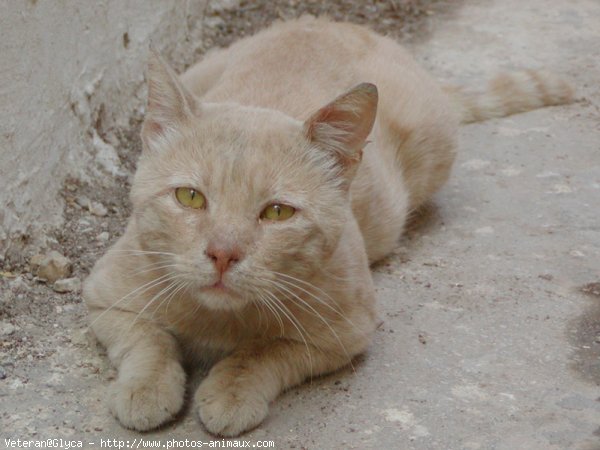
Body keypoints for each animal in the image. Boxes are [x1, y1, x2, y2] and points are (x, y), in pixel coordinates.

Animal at [82, 17, 576, 436]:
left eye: (277, 213)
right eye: (190, 197)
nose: (222, 253)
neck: (218, 320)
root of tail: (339, 22)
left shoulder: (344, 334)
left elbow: (263, 352)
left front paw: (231, 389)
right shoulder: (105, 298)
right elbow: (148, 340)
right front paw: (146, 387)